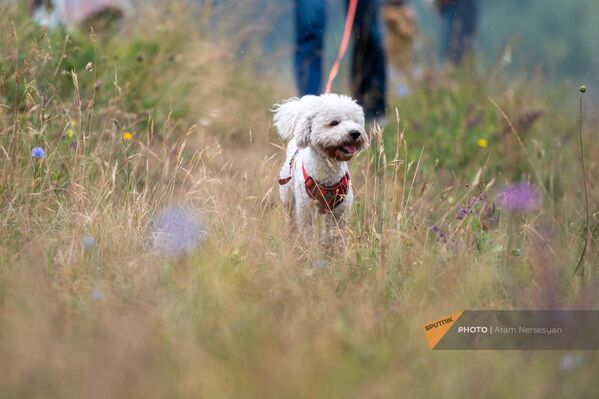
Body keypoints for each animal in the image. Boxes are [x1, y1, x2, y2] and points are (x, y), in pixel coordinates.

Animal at [274, 94, 368, 247]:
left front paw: (334, 249)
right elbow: (309, 233)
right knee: (291, 219)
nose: (355, 133)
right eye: (334, 123)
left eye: (356, 122)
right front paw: (312, 249)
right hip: (288, 197)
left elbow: (336, 234)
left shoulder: (340, 212)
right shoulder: (306, 210)